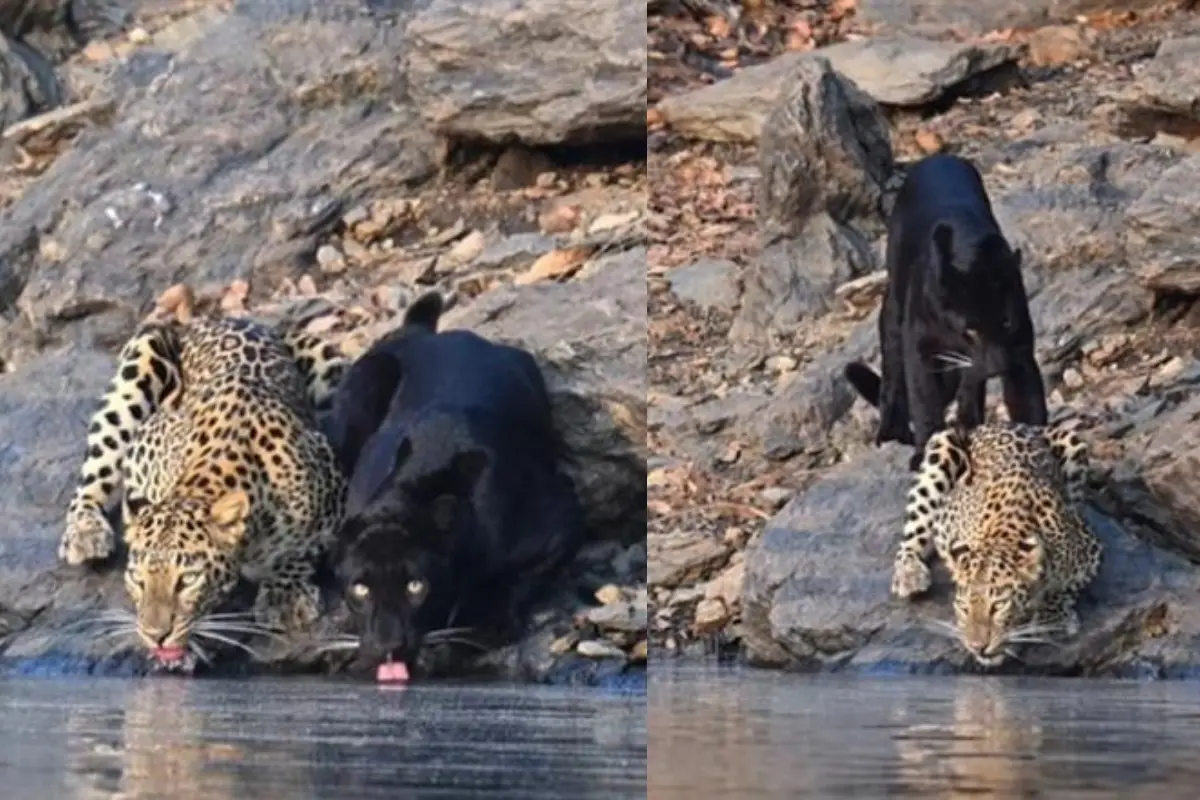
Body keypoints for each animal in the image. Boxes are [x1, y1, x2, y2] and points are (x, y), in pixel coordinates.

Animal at [57, 286, 351, 669]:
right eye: (138, 579)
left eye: (188, 580)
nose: (155, 635)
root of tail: (220, 318)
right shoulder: (143, 450)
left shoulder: (335, 482)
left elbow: (300, 547)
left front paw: (285, 594)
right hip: (142, 355)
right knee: (95, 468)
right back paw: (86, 530)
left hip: (330, 362)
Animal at [890, 419, 1101, 668]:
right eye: (964, 608)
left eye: (998, 606)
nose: (977, 647)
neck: (1004, 534)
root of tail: (1002, 423)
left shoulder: (1090, 550)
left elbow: (1062, 588)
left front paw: (1053, 617)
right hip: (941, 446)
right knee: (913, 531)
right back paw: (910, 574)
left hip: (1073, 443)